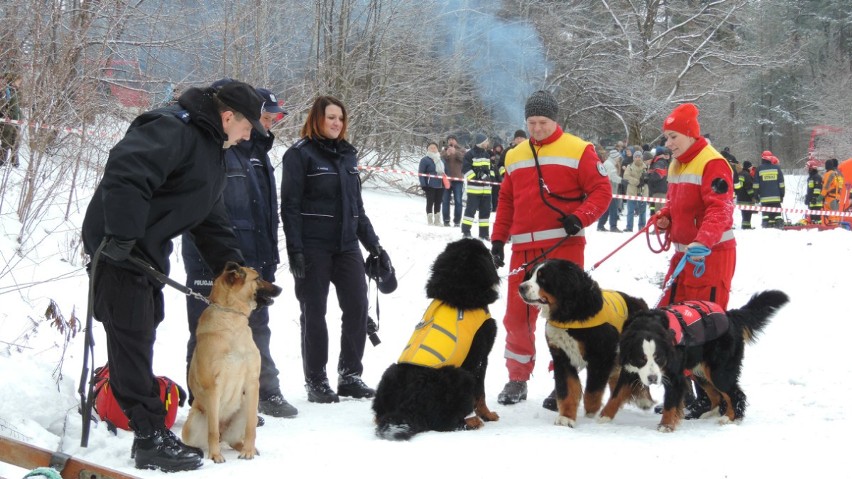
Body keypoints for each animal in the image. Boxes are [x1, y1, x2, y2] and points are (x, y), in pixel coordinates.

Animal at [181, 262, 282, 464]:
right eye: (258, 278)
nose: (280, 288)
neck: (232, 320)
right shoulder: (213, 387)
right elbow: (212, 430)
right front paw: (215, 456)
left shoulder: (252, 383)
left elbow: (251, 428)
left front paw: (248, 451)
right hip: (194, 422)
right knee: (209, 436)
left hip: (247, 408)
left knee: (234, 438)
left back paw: (244, 447)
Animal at [372, 238, 500, 440]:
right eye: (486, 251)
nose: (496, 255)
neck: (457, 290)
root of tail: (409, 404)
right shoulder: (480, 358)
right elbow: (480, 393)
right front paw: (487, 415)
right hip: (460, 375)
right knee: (444, 423)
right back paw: (471, 422)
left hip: (391, 373)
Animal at [516, 258, 648, 428]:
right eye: (531, 275)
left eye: (543, 278)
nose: (521, 287)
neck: (569, 315)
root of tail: (639, 302)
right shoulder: (562, 357)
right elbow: (568, 389)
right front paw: (566, 417)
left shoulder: (601, 356)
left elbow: (592, 390)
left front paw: (591, 410)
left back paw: (644, 399)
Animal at [604, 290, 788, 434]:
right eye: (641, 358)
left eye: (658, 358)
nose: (652, 379)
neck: (648, 325)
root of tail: (730, 316)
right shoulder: (630, 369)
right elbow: (616, 395)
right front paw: (604, 417)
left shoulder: (674, 376)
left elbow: (670, 402)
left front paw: (666, 426)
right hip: (699, 370)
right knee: (715, 395)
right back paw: (708, 414)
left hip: (719, 371)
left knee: (735, 394)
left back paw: (731, 418)